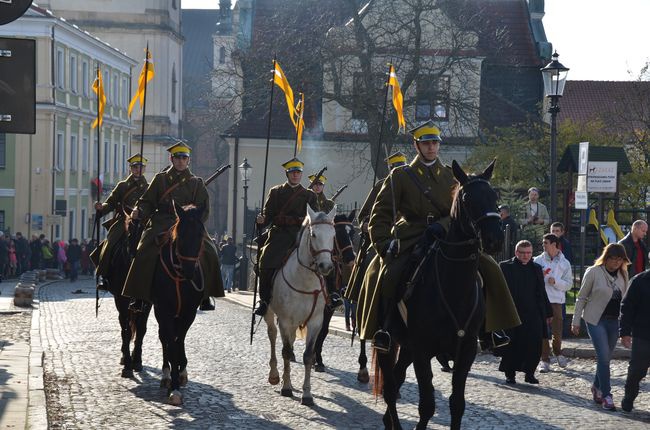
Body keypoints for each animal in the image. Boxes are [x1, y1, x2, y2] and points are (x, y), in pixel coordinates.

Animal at [104, 215, 149, 376]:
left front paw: (137, 360)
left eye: (144, 232)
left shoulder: (147, 303)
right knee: (124, 325)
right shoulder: (121, 300)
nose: (133, 260)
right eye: (128, 234)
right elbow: (127, 330)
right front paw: (128, 365)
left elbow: (141, 329)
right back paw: (124, 356)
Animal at [152, 203, 205, 404]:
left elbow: (179, 339)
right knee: (164, 338)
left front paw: (181, 373)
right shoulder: (164, 311)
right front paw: (173, 387)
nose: (190, 271)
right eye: (180, 235)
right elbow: (171, 342)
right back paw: (167, 374)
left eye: (200, 235)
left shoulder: (189, 312)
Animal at [264, 206, 334, 406]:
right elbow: (286, 352)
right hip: (270, 313)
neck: (305, 280)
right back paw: (274, 375)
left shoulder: (316, 322)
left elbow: (308, 356)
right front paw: (287, 387)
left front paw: (307, 394)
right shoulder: (285, 321)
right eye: (314, 234)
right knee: (272, 335)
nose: (326, 266)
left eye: (333, 235)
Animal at [312, 210, 356, 372]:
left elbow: (323, 331)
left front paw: (317, 360)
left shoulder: (329, 308)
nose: (351, 258)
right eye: (338, 233)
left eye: (353, 232)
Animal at [374, 160, 502, 430]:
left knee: (397, 381)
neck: (454, 287)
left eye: (494, 196)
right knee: (390, 388)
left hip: (407, 347)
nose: (495, 239)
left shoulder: (466, 351)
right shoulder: (422, 350)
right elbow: (427, 405)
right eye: (467, 198)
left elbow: (457, 404)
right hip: (387, 343)